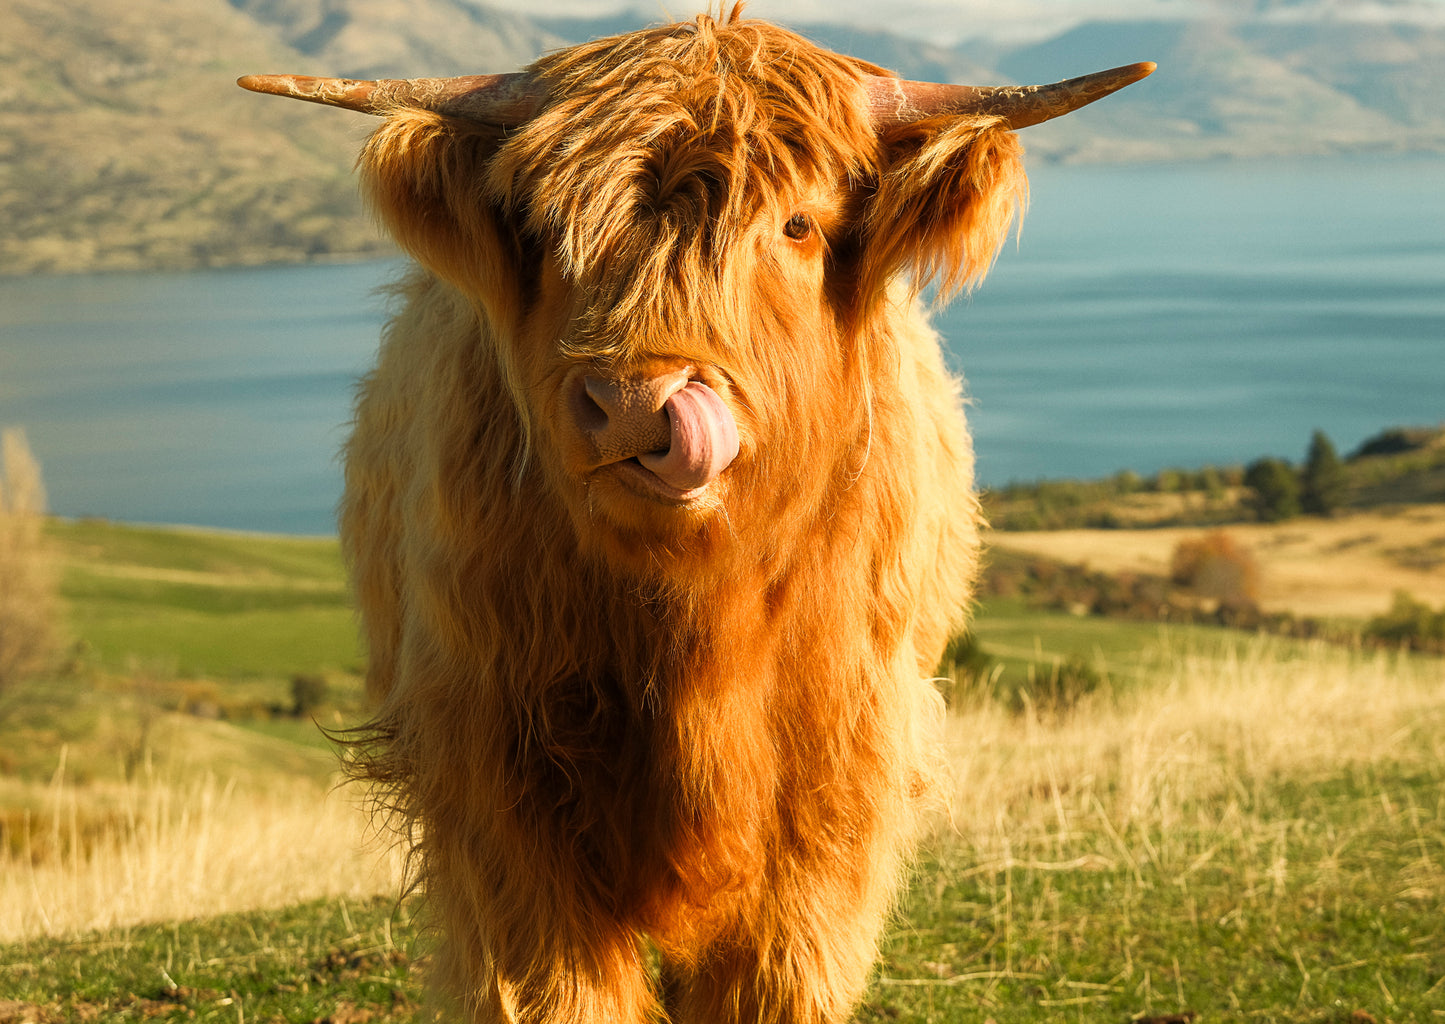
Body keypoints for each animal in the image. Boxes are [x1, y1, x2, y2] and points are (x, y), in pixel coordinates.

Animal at [241, 10, 1151, 1023]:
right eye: (545, 231)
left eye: (796, 223)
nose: (634, 403)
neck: (694, 622)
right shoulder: (496, 774)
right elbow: (564, 986)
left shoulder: (837, 774)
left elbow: (776, 972)